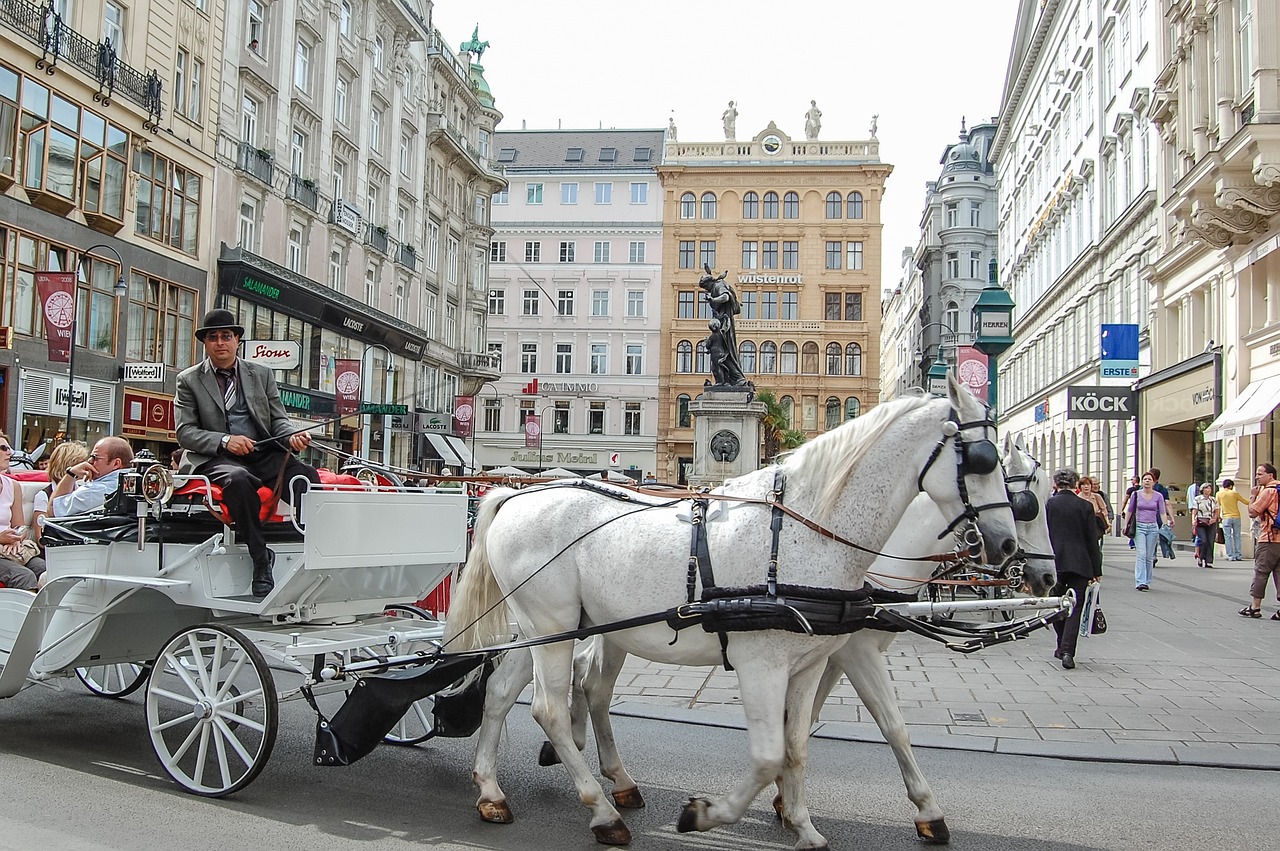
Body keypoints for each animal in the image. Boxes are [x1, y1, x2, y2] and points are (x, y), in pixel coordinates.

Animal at [445, 378, 1013, 849]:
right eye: (983, 459)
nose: (1005, 546)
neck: (805, 529)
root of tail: (515, 496)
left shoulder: (808, 665)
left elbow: (796, 746)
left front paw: (803, 826)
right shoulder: (763, 665)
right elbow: (767, 756)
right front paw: (706, 814)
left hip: (547, 631)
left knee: (504, 693)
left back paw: (492, 792)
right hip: (554, 630)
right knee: (550, 710)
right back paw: (604, 813)